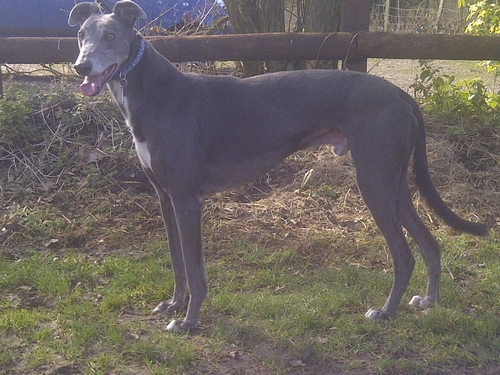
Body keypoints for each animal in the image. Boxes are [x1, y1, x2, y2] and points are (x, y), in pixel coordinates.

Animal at [68, 0, 486, 334]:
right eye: (82, 35)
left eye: (110, 36)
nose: (80, 66)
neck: (156, 92)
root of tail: (401, 94)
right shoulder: (165, 196)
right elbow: (177, 260)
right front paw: (173, 305)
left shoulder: (187, 200)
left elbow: (196, 268)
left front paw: (188, 321)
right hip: (393, 183)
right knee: (430, 243)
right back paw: (428, 301)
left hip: (374, 183)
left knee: (403, 255)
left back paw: (385, 313)